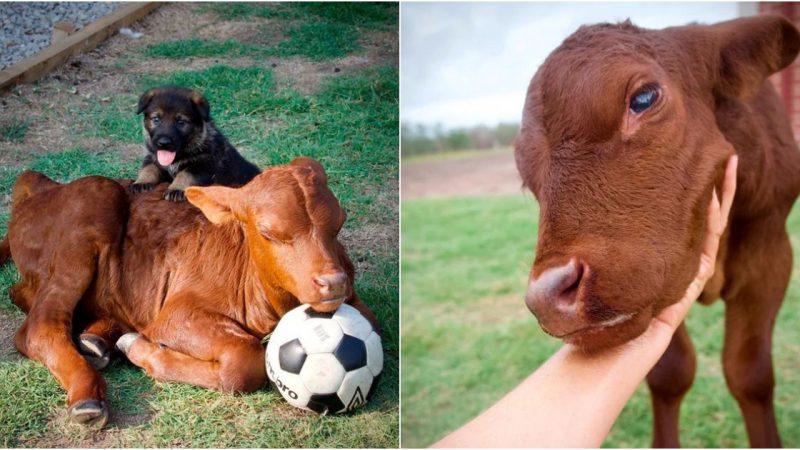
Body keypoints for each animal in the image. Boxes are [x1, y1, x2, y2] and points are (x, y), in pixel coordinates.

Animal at [0, 156, 378, 428]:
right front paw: (140, 349)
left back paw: (98, 339)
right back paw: (87, 395)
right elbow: (244, 361)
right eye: (269, 232)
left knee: (23, 294)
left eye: (340, 222)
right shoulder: (176, 314)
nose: (333, 282)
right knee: (39, 328)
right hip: (92, 206)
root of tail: (44, 188)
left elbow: (373, 321)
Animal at [132, 85, 260, 200]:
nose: (163, 143)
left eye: (181, 122)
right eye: (156, 119)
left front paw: (176, 189)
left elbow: (185, 174)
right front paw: (141, 181)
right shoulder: (152, 156)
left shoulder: (204, 164)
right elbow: (149, 168)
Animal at [512, 15, 800, 448]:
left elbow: (749, 374)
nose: (547, 297)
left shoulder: (771, 256)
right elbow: (669, 374)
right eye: (524, 172)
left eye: (644, 98)